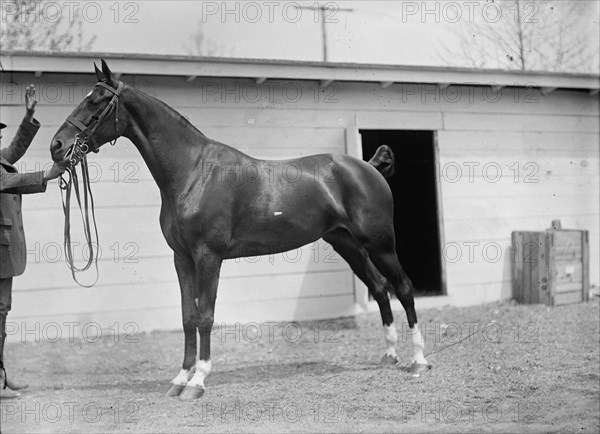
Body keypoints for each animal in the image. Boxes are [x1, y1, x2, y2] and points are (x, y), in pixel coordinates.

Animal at [49, 60, 428, 400]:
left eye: (96, 101)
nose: (57, 146)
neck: (193, 171)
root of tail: (368, 166)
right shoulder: (182, 258)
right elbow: (187, 316)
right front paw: (180, 378)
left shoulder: (208, 256)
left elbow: (205, 316)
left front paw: (198, 381)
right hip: (347, 244)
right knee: (380, 288)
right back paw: (389, 355)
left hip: (380, 244)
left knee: (403, 287)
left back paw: (419, 361)